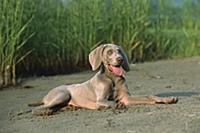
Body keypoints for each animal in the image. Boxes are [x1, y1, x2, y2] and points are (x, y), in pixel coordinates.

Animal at [28, 44, 177, 115]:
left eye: (119, 51)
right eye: (109, 52)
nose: (120, 59)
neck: (113, 79)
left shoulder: (127, 98)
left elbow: (149, 96)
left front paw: (167, 99)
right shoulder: (100, 100)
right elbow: (110, 102)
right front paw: (117, 105)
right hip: (63, 94)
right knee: (39, 107)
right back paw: (45, 111)